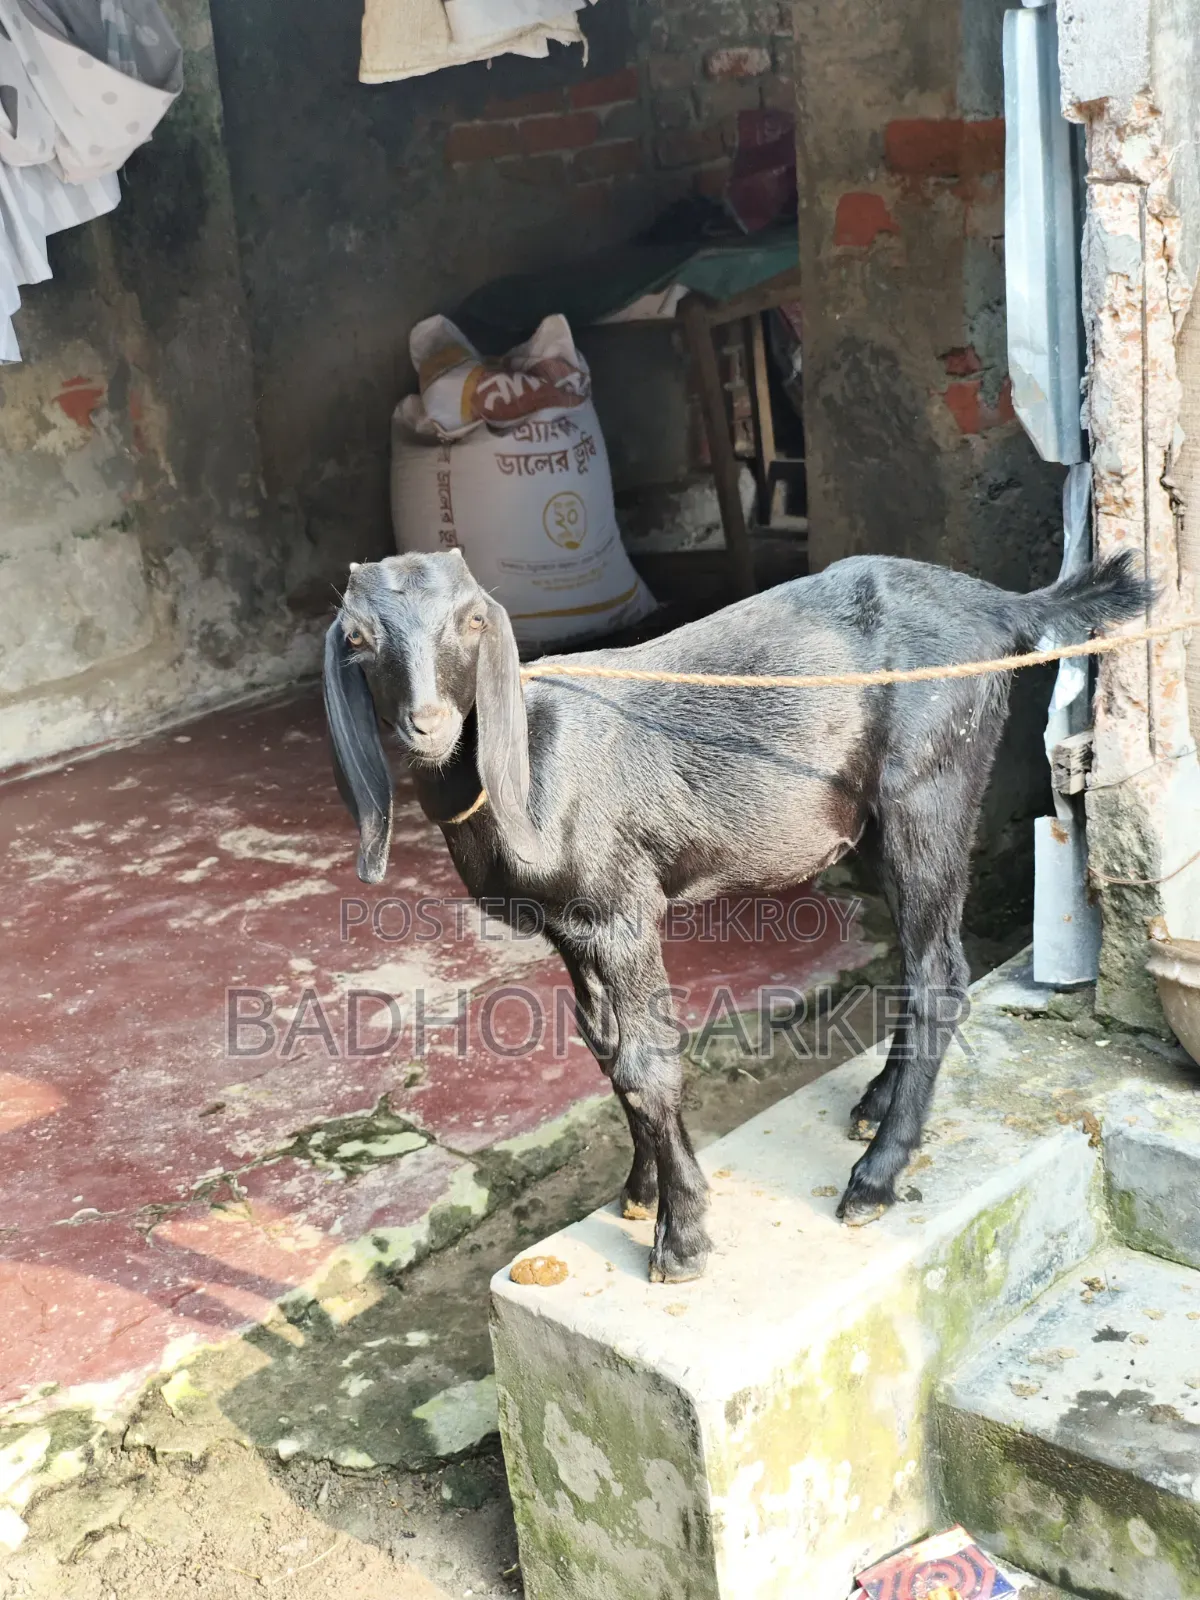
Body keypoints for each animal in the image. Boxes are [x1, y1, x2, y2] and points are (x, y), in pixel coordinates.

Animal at [323, 547, 1148, 1283]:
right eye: (358, 638)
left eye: (471, 620)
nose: (427, 722)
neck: (524, 759)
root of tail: (997, 606)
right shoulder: (570, 930)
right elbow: (605, 1053)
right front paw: (639, 1191)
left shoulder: (620, 910)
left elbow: (648, 1064)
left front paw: (682, 1238)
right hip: (880, 824)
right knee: (916, 964)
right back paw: (877, 1104)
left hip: (931, 786)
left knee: (941, 970)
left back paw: (875, 1177)